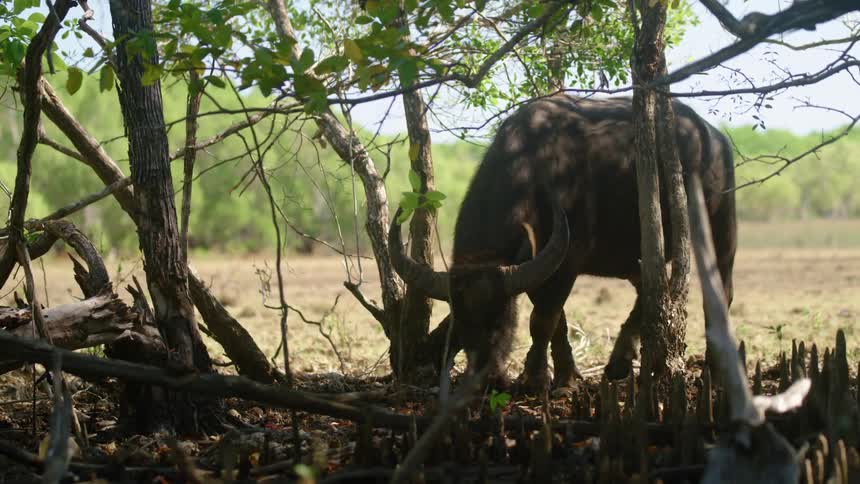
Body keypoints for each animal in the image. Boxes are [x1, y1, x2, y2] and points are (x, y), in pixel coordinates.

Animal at [389, 94, 736, 393]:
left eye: (500, 323)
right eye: (460, 323)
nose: (486, 378)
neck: (533, 164)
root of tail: (715, 138)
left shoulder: (564, 263)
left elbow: (542, 321)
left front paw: (535, 378)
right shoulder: (539, 266)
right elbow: (558, 323)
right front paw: (565, 377)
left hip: (721, 228)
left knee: (720, 293)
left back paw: (715, 373)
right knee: (650, 290)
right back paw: (620, 362)